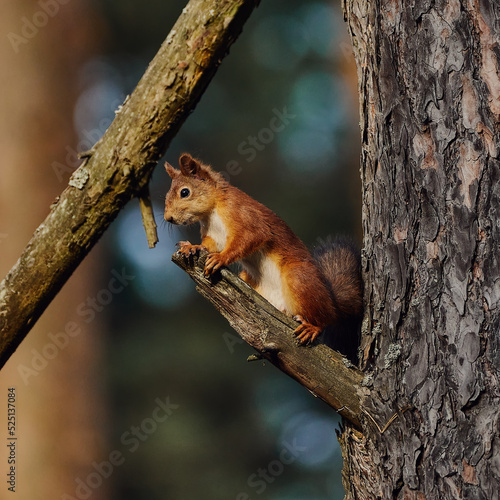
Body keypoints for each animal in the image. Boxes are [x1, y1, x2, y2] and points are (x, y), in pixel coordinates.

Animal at [164, 152, 364, 352]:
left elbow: (250, 237)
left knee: (325, 317)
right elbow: (208, 246)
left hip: (299, 278)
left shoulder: (244, 216)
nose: (168, 218)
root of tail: (332, 302)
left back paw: (313, 326)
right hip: (250, 280)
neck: (212, 212)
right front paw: (193, 247)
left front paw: (221, 258)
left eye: (184, 192)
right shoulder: (213, 236)